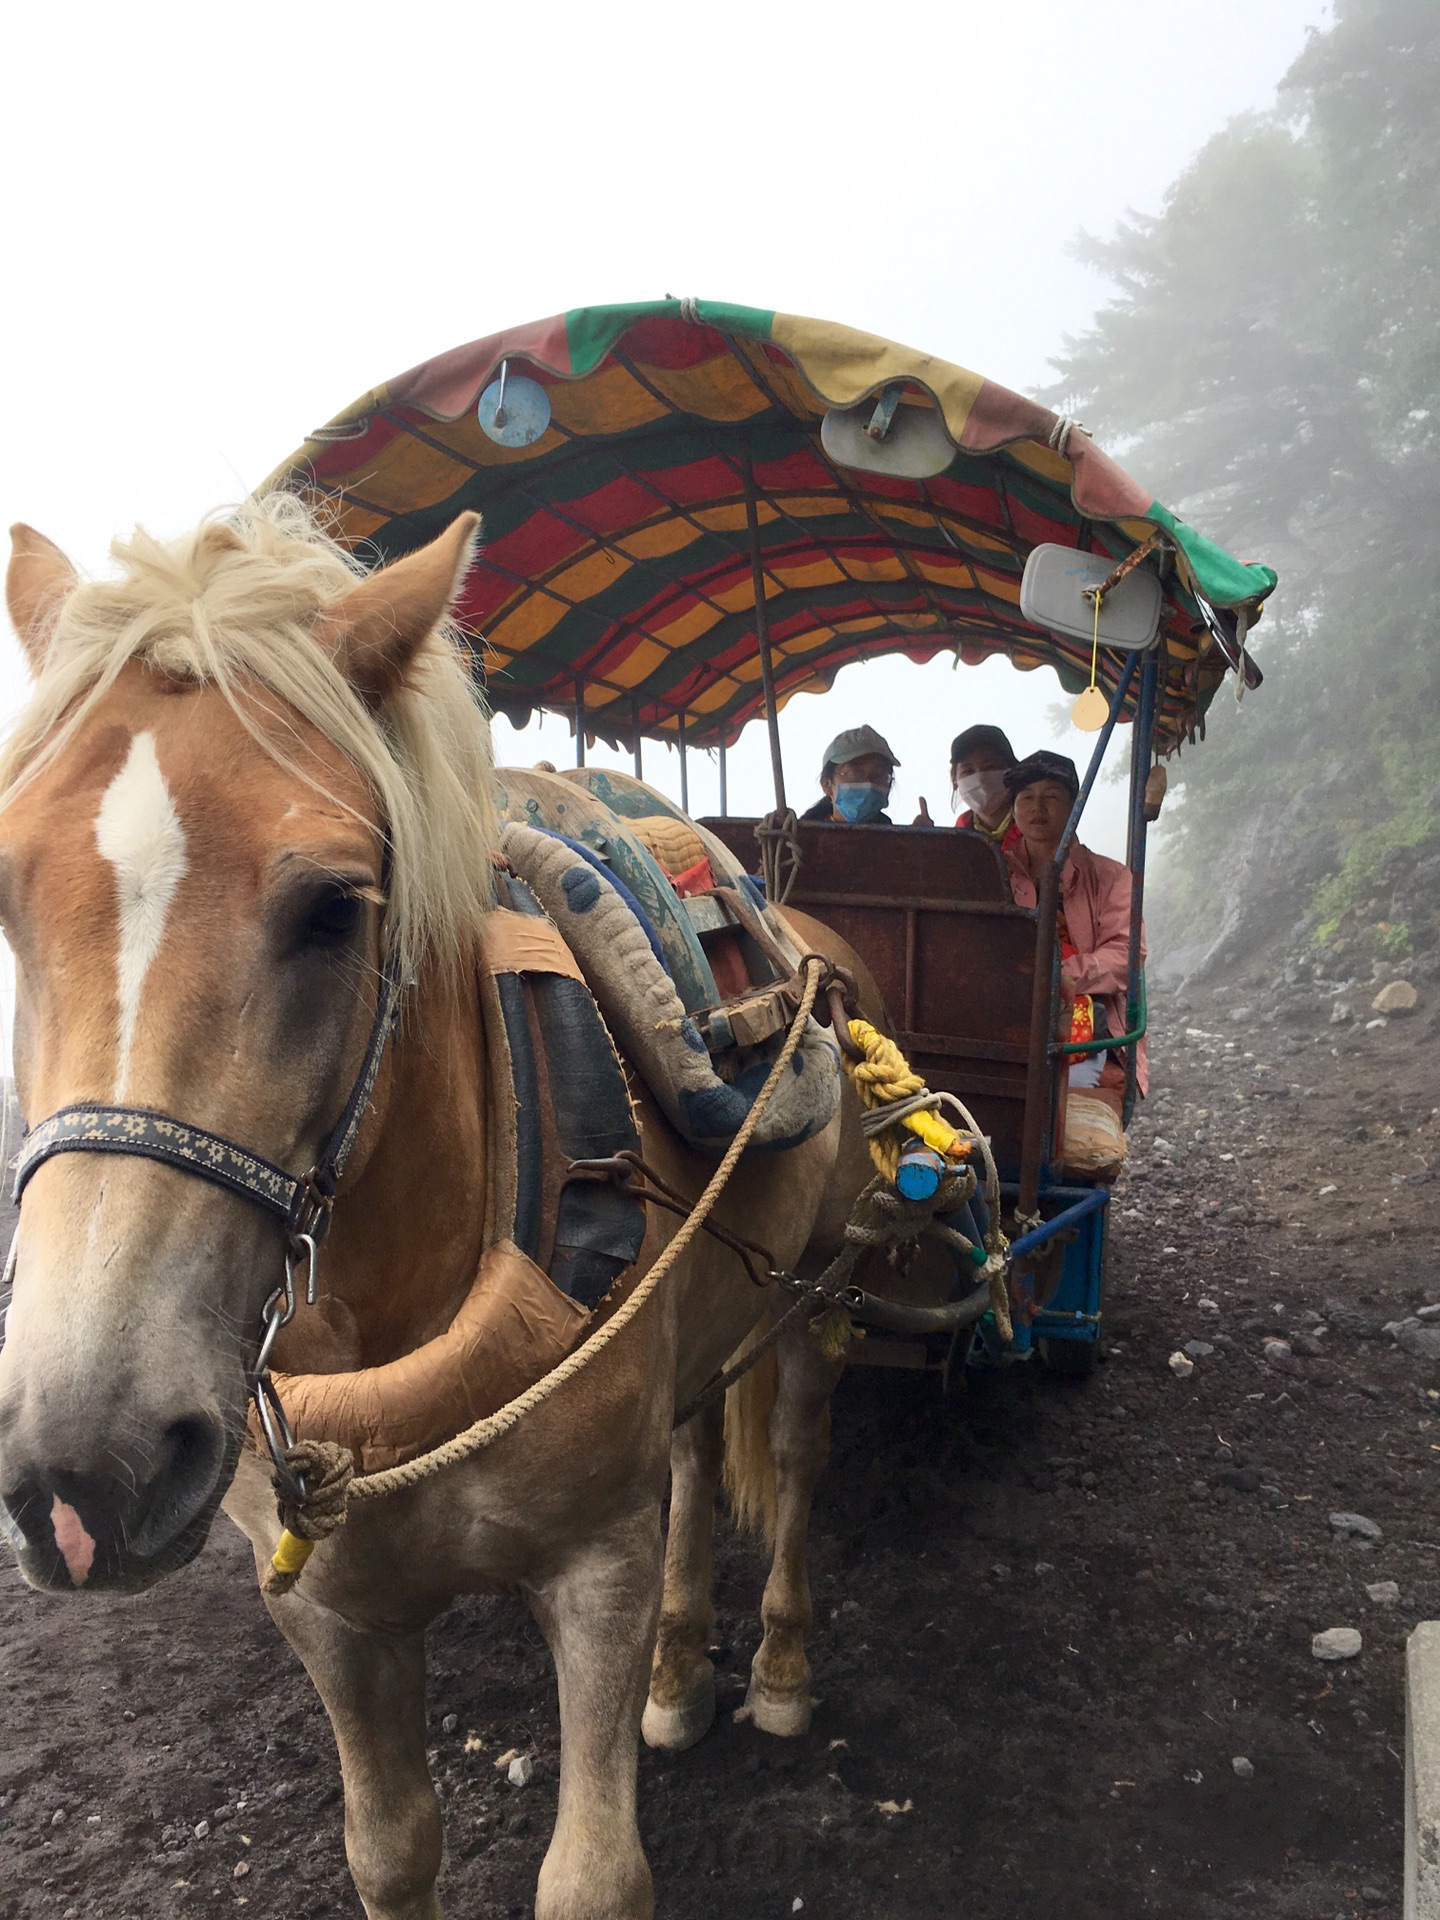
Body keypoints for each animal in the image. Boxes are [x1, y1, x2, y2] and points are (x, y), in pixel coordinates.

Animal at [0, 499, 879, 1920]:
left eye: (332, 908)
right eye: (8, 901)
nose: (84, 1466)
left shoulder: (596, 1565)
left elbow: (592, 1879)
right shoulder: (327, 1613)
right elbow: (391, 1849)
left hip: (816, 1294)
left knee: (795, 1455)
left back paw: (780, 1668)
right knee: (698, 1455)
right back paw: (680, 1669)